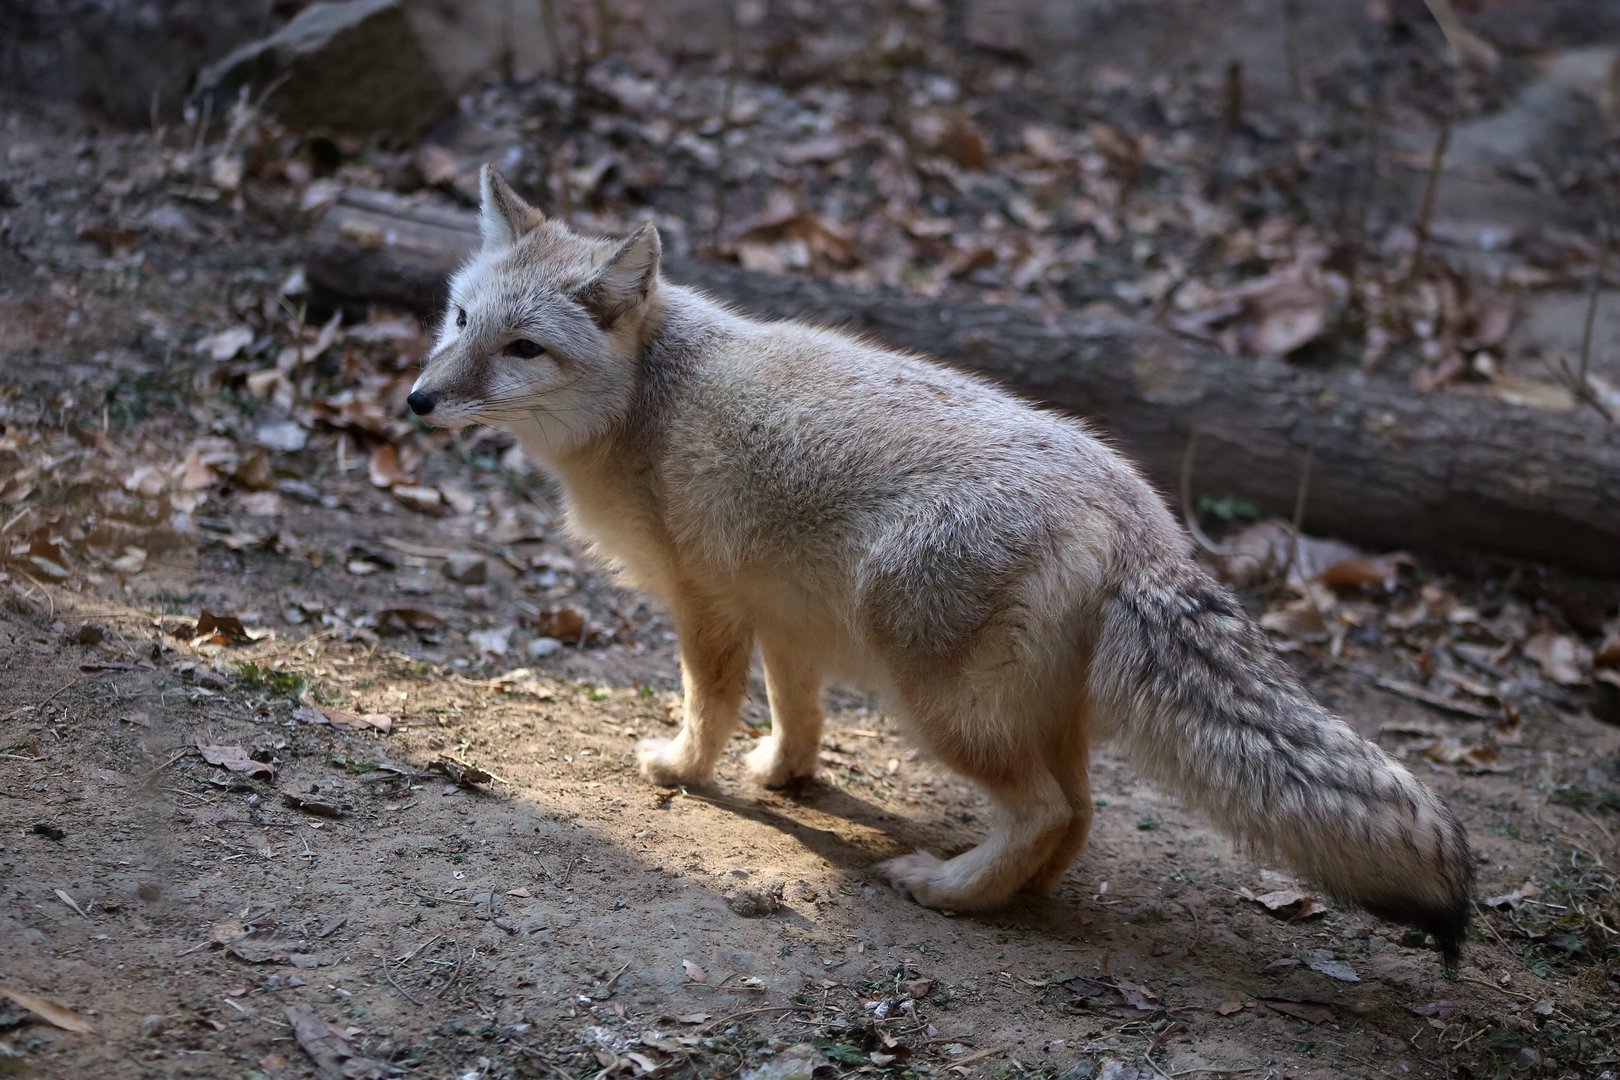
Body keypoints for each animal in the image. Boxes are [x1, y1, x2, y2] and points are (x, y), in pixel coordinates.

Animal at [408, 166, 1474, 964]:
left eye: (523, 348)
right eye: (459, 319)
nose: (416, 400)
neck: (645, 400)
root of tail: (1142, 525)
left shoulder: (707, 607)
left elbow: (709, 707)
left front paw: (684, 769)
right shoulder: (786, 615)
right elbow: (798, 713)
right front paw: (785, 775)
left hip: (939, 705)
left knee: (1045, 812)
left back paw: (949, 891)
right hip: (1029, 713)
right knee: (1078, 817)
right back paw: (1017, 894)